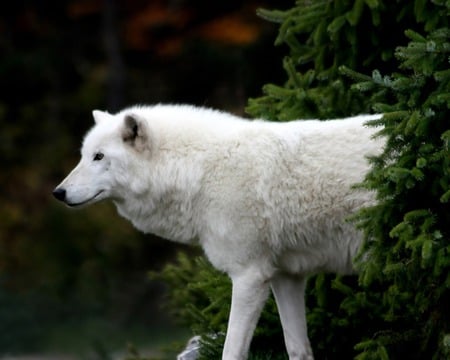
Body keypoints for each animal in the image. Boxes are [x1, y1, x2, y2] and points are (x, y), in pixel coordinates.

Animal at [52, 102, 384, 358]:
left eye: (99, 157)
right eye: (84, 155)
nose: (58, 192)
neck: (200, 171)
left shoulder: (249, 276)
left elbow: (231, 351)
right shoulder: (285, 276)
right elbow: (297, 348)